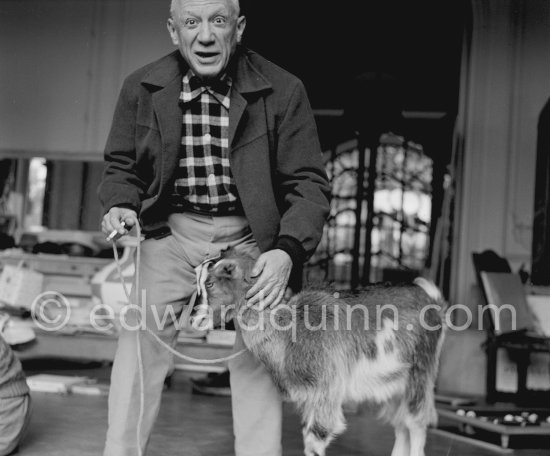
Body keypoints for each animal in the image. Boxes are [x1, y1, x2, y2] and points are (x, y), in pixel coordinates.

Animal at [199, 249, 448, 456]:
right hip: (393, 382)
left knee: (416, 423)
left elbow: (315, 440)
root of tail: (432, 299)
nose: (197, 318)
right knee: (401, 424)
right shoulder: (310, 397)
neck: (289, 331)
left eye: (210, 283)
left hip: (420, 373)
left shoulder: (327, 390)